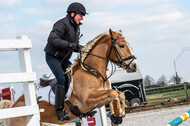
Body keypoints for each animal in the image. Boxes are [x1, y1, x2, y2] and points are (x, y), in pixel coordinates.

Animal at [5, 29, 137, 125]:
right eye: (121, 46)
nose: (134, 65)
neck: (92, 72)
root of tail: (13, 106)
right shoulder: (87, 100)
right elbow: (114, 93)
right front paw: (120, 112)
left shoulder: (99, 101)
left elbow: (118, 94)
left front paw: (118, 115)